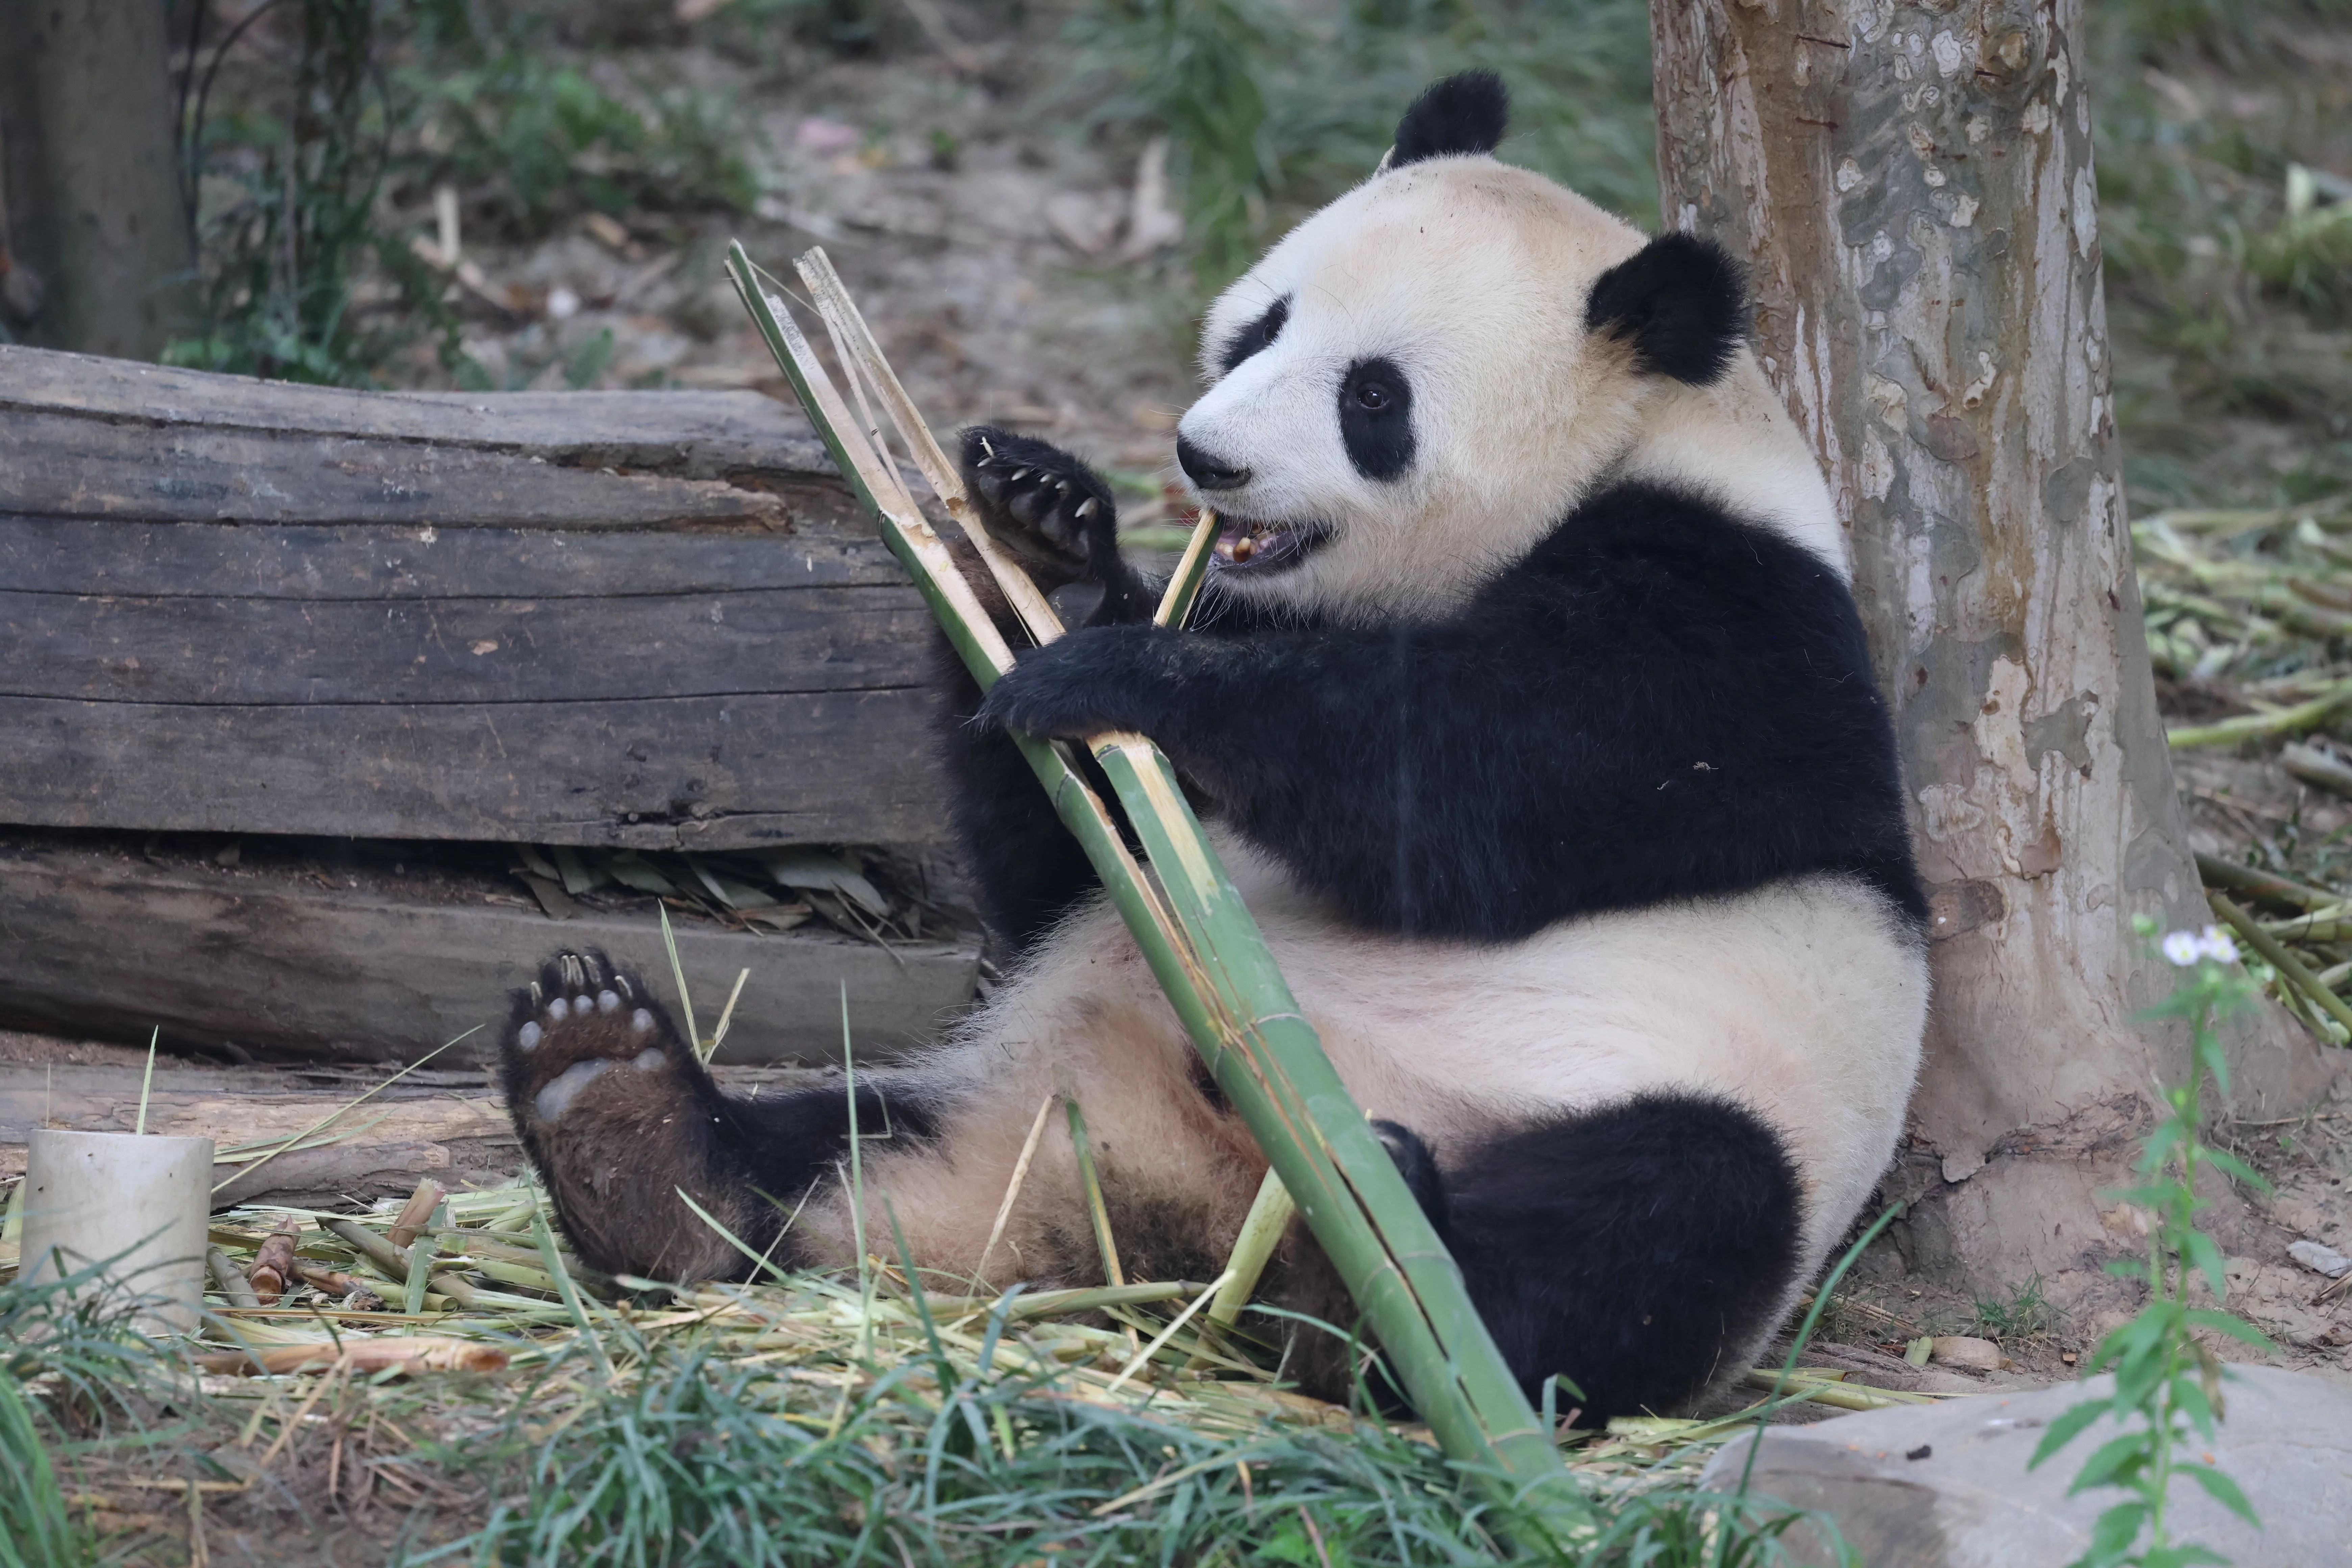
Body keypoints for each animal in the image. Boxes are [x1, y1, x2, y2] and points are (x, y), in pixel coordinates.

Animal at [496, 70, 1929, 1423]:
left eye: (1373, 396)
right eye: (1262, 325)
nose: (1203, 456)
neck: (1639, 444)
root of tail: (1175, 1207)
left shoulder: (1740, 630)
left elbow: (1479, 786)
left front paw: (1119, 667)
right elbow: (1079, 858)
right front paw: (1043, 534)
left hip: (1683, 1103)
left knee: (1661, 1215)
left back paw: (1374, 1279)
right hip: (1008, 1089)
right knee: (836, 1141)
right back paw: (624, 1122)